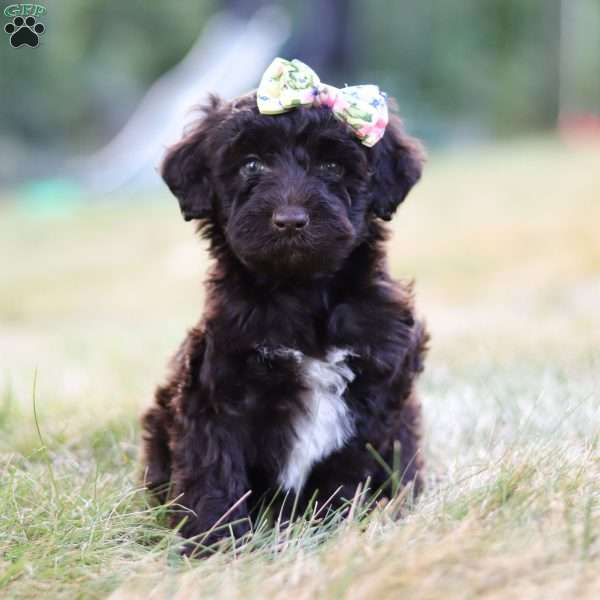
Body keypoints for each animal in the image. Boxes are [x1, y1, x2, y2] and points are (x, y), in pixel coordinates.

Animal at [143, 81, 428, 552]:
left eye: (332, 166)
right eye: (251, 165)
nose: (291, 220)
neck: (301, 293)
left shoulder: (374, 391)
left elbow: (349, 472)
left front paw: (337, 529)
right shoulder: (217, 390)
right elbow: (213, 469)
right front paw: (214, 544)